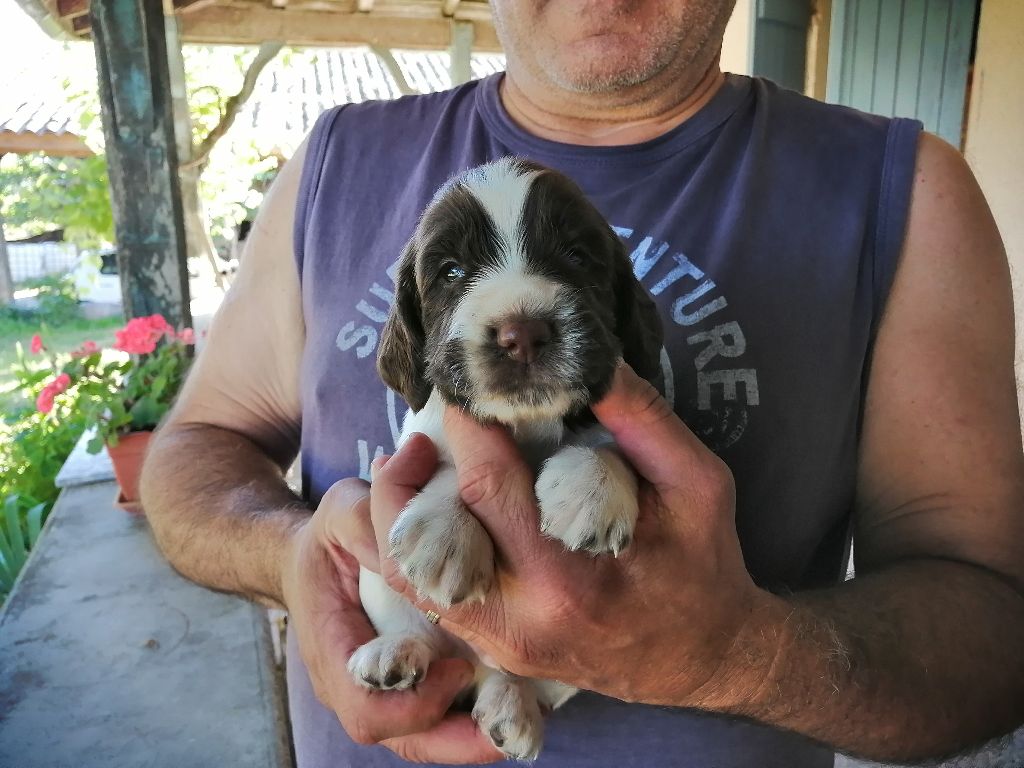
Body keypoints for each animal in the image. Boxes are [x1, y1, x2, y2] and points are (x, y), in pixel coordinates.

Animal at [348, 157, 659, 765]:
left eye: (578, 257)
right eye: (450, 272)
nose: (523, 335)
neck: (526, 422)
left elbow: (608, 442)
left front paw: (592, 490)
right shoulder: (425, 433)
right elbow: (449, 465)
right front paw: (446, 533)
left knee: (511, 675)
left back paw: (508, 707)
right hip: (377, 583)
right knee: (423, 635)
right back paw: (393, 654)